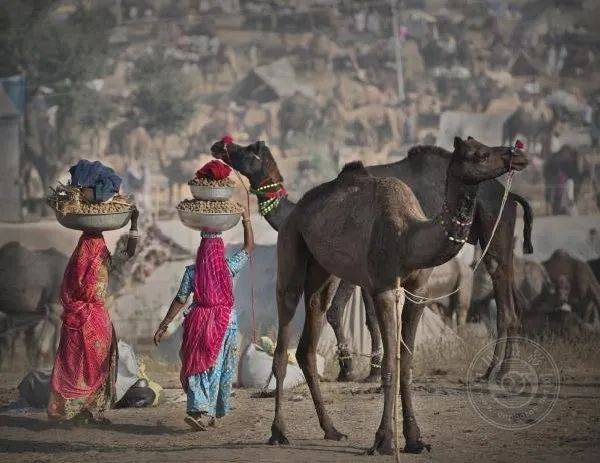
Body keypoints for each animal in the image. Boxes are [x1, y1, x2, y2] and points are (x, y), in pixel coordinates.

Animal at [211, 139, 536, 384]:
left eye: (248, 149)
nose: (220, 145)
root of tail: (511, 195)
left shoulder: (351, 268)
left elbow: (339, 312)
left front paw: (354, 369)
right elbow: (366, 316)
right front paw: (369, 371)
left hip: (496, 230)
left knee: (503, 297)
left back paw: (500, 373)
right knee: (513, 299)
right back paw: (492, 370)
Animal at [270, 136, 528, 454]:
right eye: (480, 154)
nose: (517, 155)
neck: (409, 238)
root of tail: (296, 210)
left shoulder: (418, 292)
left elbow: (406, 363)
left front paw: (415, 439)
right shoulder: (383, 288)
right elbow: (389, 364)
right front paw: (384, 440)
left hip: (322, 271)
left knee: (309, 335)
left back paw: (331, 430)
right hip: (290, 247)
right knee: (283, 337)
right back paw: (279, 432)